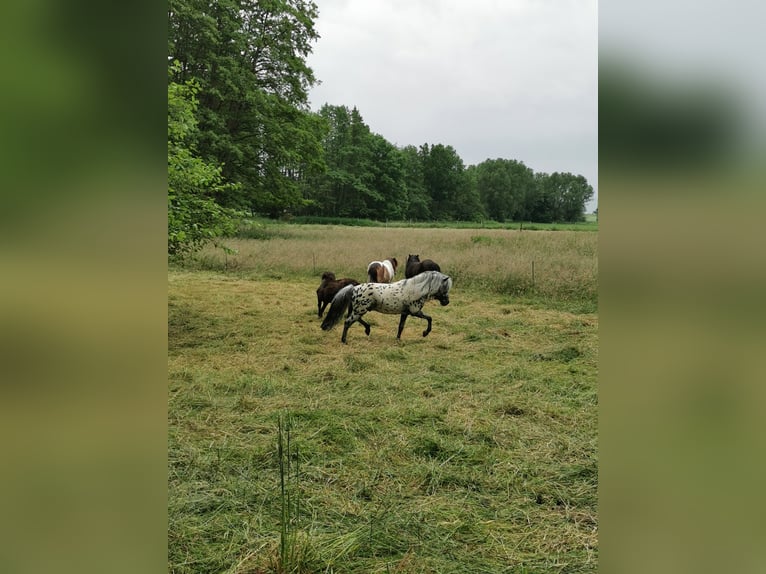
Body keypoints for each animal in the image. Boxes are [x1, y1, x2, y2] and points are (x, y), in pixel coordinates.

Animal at [320, 272, 452, 344]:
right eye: (445, 287)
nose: (446, 302)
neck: (414, 289)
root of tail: (354, 288)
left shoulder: (405, 313)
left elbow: (401, 326)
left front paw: (398, 339)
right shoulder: (415, 311)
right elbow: (429, 318)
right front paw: (425, 333)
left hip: (359, 310)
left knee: (355, 320)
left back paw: (368, 330)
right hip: (360, 310)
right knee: (348, 322)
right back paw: (344, 340)